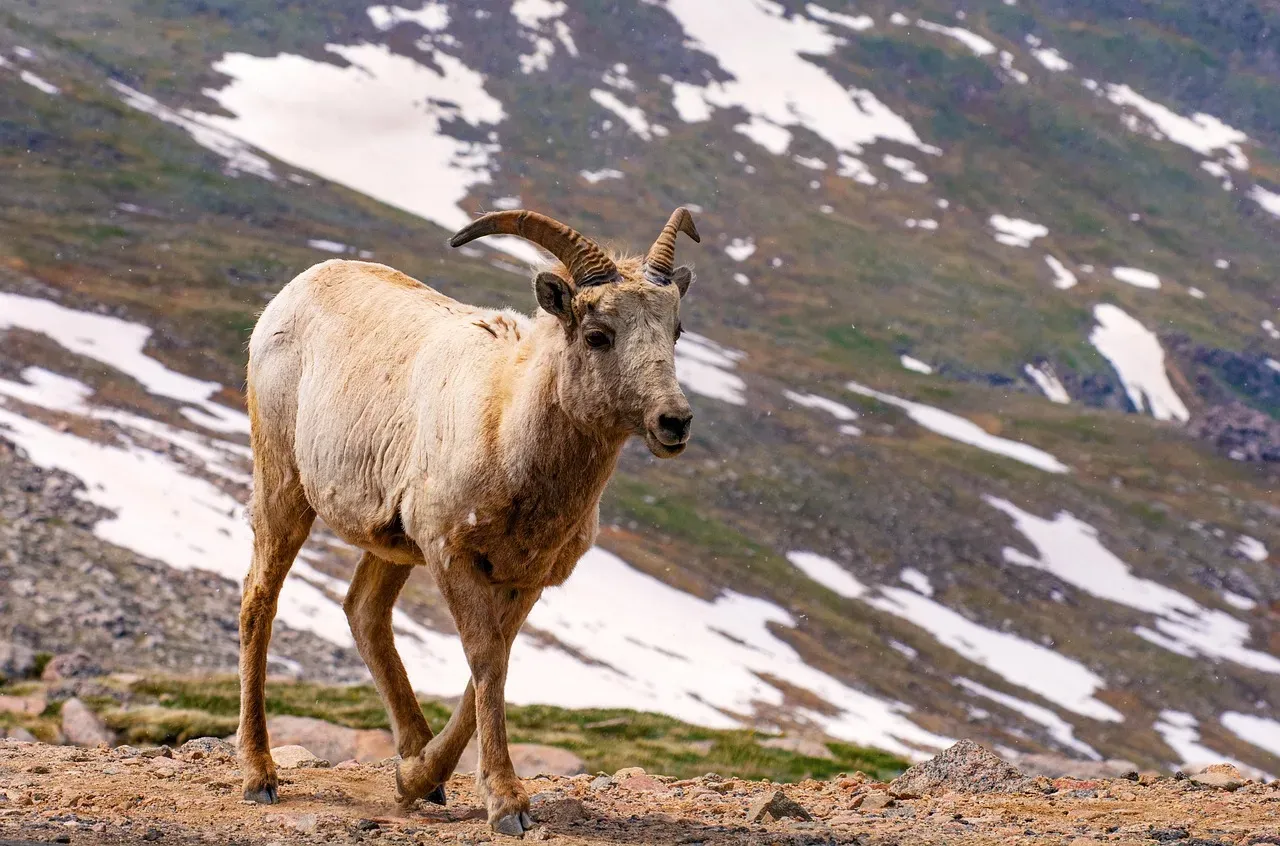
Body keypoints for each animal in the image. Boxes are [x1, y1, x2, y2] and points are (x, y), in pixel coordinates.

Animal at [237, 208, 701, 836]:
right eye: (597, 335)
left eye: (675, 331)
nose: (673, 422)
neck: (507, 426)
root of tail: (294, 292)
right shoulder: (451, 554)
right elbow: (485, 660)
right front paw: (507, 806)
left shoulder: (525, 578)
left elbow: (494, 662)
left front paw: (415, 780)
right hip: (282, 483)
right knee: (260, 599)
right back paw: (259, 776)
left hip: (391, 544)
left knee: (364, 612)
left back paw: (416, 769)